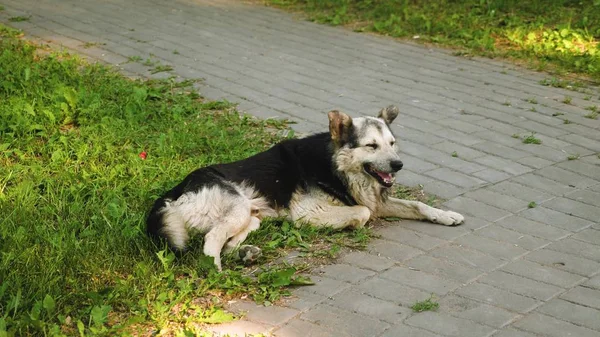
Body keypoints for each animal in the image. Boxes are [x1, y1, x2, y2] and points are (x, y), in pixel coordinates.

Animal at [148, 106, 466, 270]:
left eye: (392, 143)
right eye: (371, 146)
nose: (398, 165)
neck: (336, 165)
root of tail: (171, 193)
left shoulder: (377, 198)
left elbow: (417, 205)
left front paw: (446, 215)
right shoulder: (309, 212)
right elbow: (362, 212)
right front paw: (351, 224)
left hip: (252, 216)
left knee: (226, 244)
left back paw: (245, 255)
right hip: (237, 207)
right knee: (211, 241)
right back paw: (218, 274)